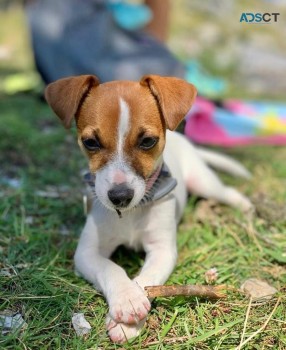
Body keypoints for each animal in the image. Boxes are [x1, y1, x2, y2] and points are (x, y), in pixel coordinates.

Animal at [43, 75, 251, 344]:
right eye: (90, 142)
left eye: (148, 141)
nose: (119, 197)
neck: (131, 214)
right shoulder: (87, 253)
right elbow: (111, 268)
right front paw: (126, 299)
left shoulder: (163, 250)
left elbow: (146, 279)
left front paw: (130, 314)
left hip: (203, 182)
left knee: (226, 191)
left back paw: (245, 206)